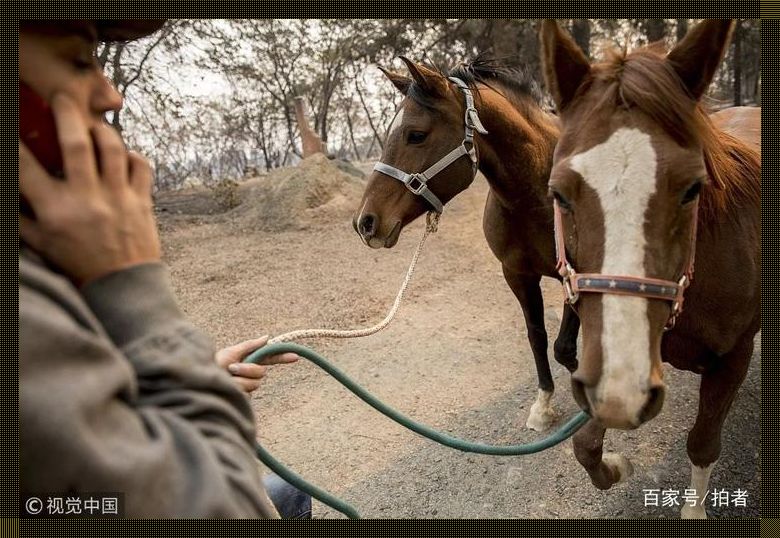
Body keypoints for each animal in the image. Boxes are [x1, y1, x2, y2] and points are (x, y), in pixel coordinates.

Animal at [354, 56, 580, 430]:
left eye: (416, 135)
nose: (365, 222)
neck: (537, 198)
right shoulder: (517, 274)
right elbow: (537, 336)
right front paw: (544, 404)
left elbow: (565, 346)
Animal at [540, 18, 760, 516]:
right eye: (559, 194)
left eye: (693, 188)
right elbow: (584, 444)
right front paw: (619, 467)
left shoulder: (734, 358)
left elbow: (702, 444)